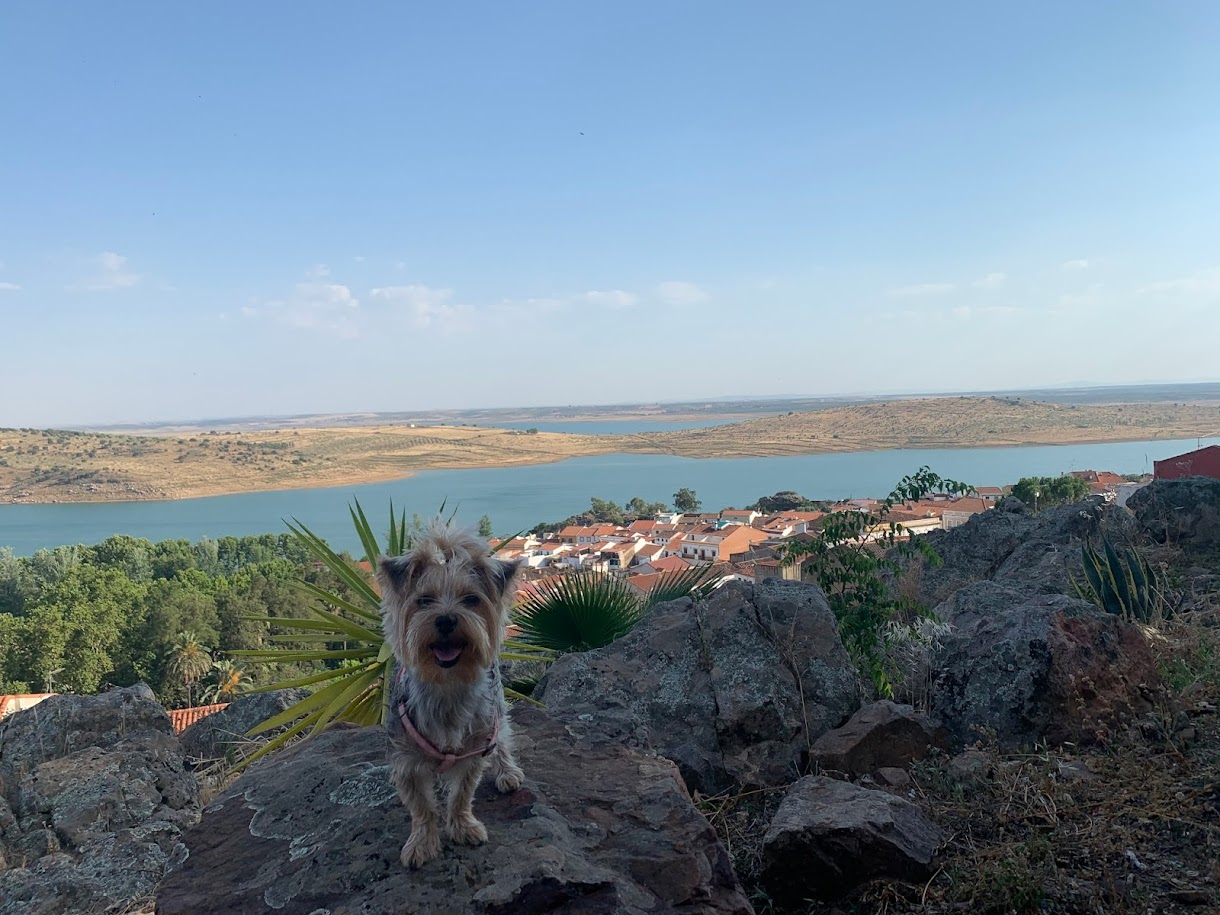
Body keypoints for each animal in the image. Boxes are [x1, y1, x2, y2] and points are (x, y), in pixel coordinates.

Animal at [373, 527, 522, 868]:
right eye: (423, 600)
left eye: (471, 599)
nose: (445, 619)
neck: (447, 685)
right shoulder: (407, 761)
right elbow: (422, 808)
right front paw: (422, 843)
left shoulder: (475, 748)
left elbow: (462, 794)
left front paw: (463, 826)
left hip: (497, 708)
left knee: (504, 738)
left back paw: (507, 772)